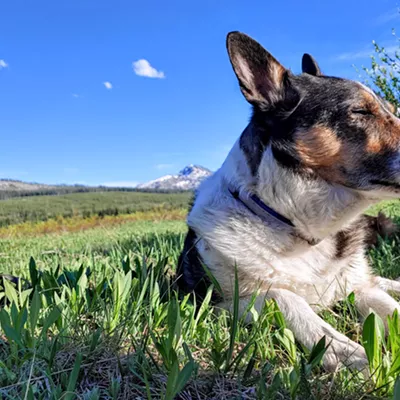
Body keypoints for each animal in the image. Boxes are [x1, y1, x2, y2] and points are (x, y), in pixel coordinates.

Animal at [178, 31, 400, 372]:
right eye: (360, 112)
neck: (297, 225)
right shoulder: (216, 303)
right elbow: (284, 296)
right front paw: (342, 349)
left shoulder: (358, 286)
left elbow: (387, 303)